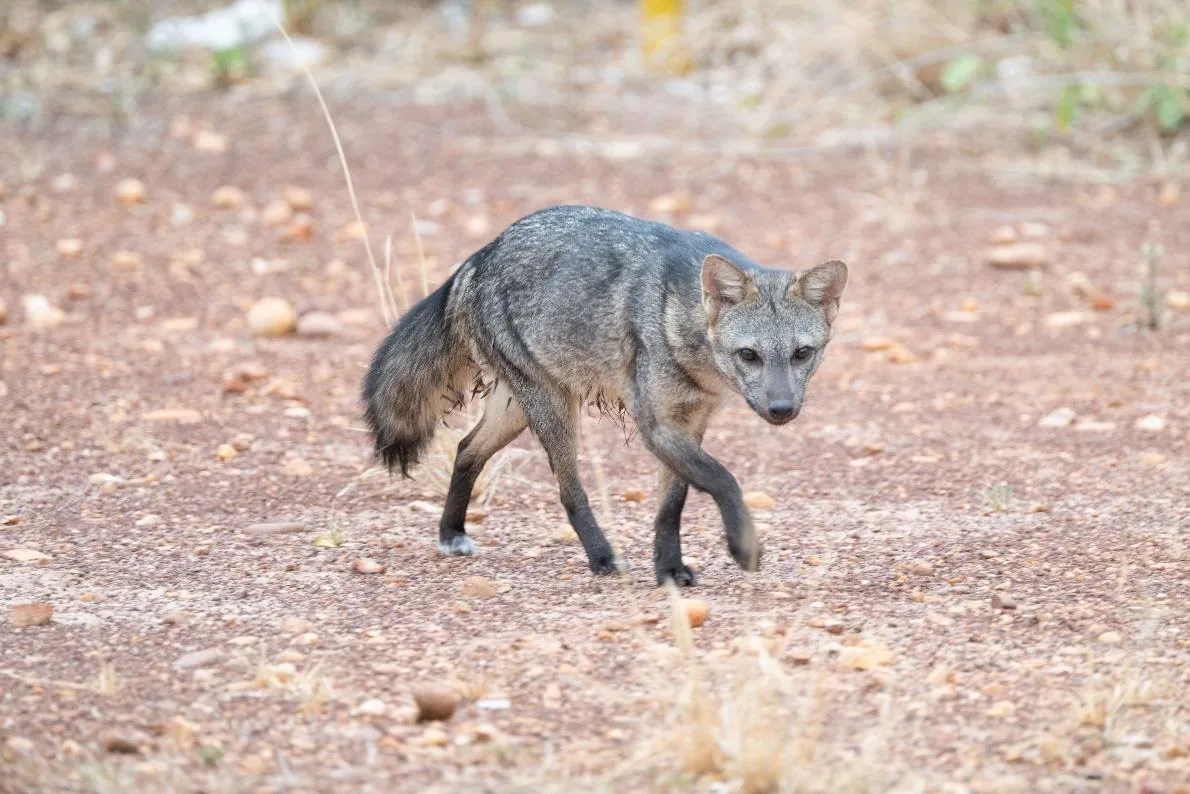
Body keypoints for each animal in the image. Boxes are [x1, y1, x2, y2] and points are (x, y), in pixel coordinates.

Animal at [363, 205, 848, 586]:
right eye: (749, 355)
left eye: (802, 353)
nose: (782, 410)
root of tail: (482, 254)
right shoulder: (657, 425)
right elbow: (723, 479)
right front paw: (742, 545)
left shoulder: (691, 423)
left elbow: (673, 504)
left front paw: (668, 570)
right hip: (553, 411)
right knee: (569, 492)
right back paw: (601, 556)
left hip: (518, 410)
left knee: (466, 451)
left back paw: (450, 533)